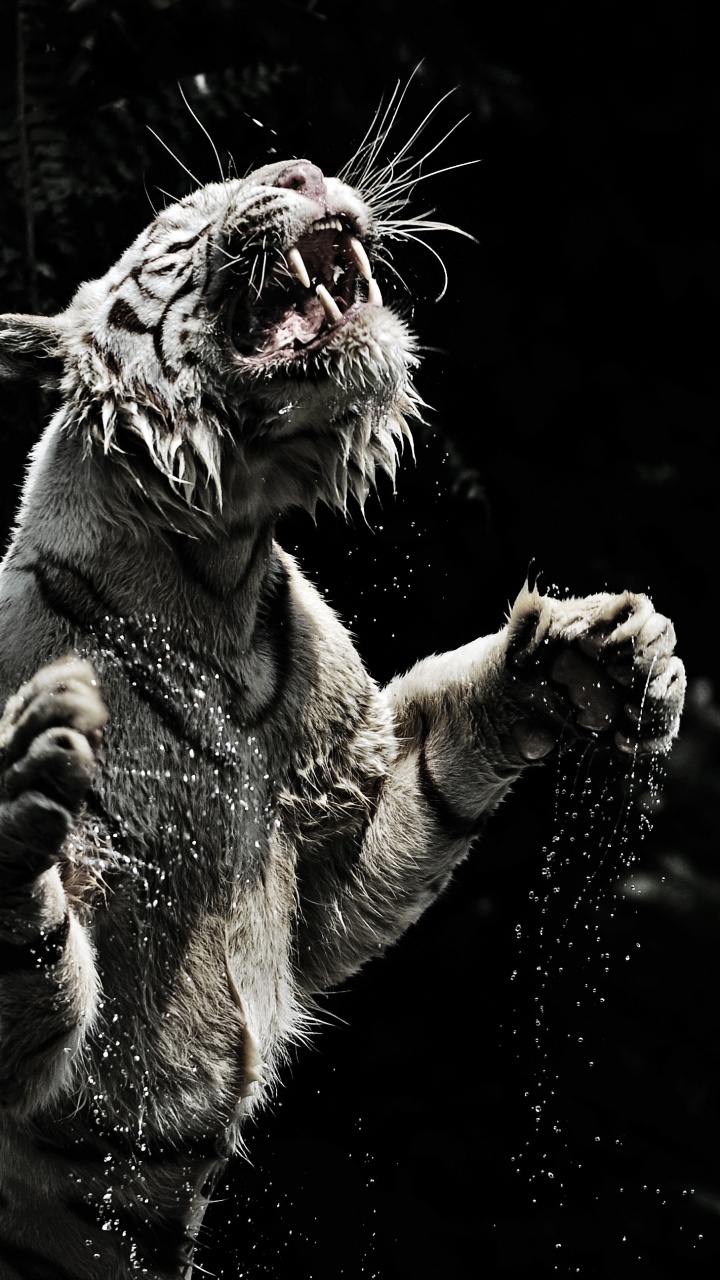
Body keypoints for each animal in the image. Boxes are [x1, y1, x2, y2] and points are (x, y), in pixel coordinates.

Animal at [0, 149, 685, 1279]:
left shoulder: (336, 819)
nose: (303, 168)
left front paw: (596, 653)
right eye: (183, 215)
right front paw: (18, 801)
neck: (215, 573)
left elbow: (437, 765)